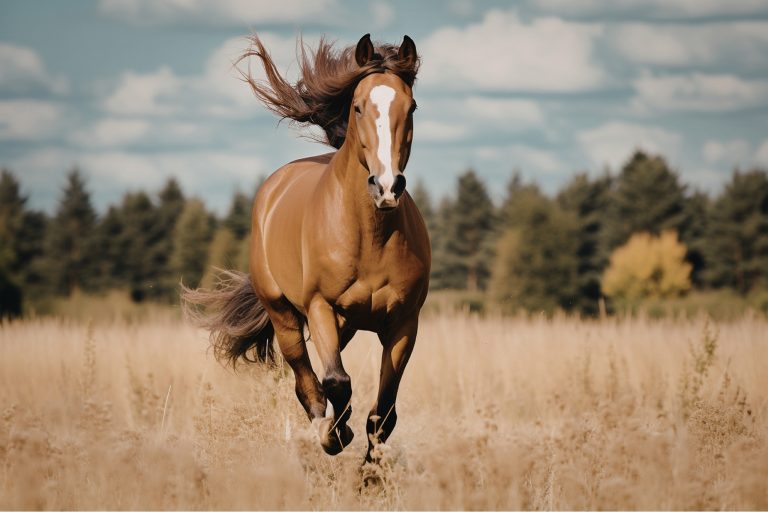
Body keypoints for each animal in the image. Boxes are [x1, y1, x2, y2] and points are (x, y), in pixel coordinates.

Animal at [182, 33, 430, 462]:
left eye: (410, 106)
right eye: (358, 106)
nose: (386, 187)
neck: (370, 237)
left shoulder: (403, 324)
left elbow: (384, 410)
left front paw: (370, 470)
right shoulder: (321, 308)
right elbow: (336, 382)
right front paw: (336, 436)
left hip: (345, 325)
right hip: (285, 316)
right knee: (306, 380)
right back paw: (326, 430)